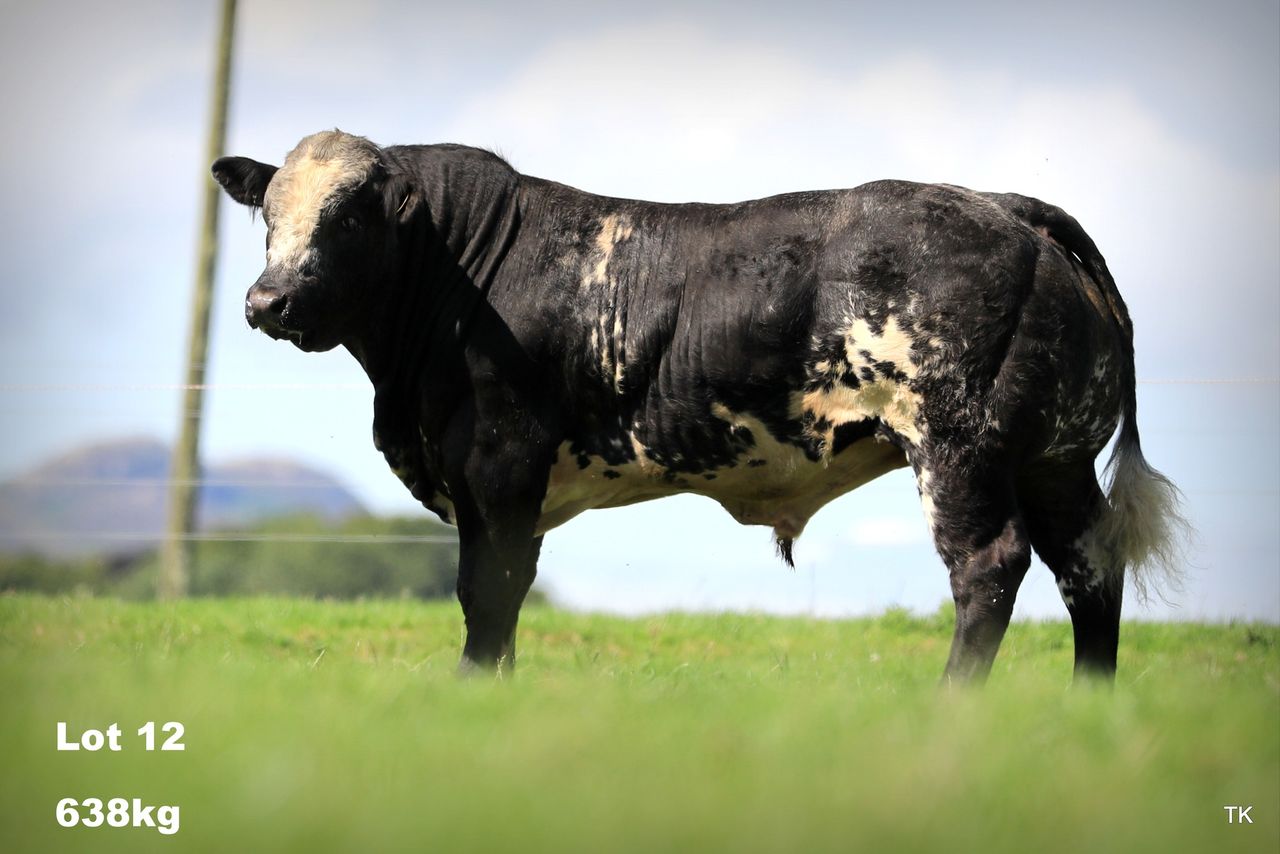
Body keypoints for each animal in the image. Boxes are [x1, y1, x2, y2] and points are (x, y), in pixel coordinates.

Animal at [212, 129, 1186, 683]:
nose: (268, 301)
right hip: (1054, 458)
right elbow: (497, 595)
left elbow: (488, 594)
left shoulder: (500, 465)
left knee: (989, 567)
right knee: (1089, 567)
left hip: (961, 450)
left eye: (349, 217)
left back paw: (954, 707)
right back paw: (1087, 706)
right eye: (268, 215)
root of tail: (1006, 207)